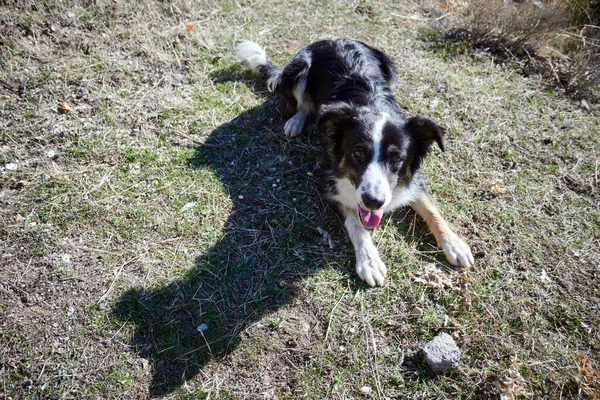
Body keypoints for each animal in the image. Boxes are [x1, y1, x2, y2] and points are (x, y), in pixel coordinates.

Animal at [234, 39, 474, 286]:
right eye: (358, 153)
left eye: (396, 158)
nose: (373, 202)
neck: (373, 106)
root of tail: (334, 39)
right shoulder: (331, 182)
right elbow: (356, 223)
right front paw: (369, 261)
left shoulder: (413, 179)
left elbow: (431, 208)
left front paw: (454, 243)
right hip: (299, 69)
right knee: (302, 104)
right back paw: (295, 121)